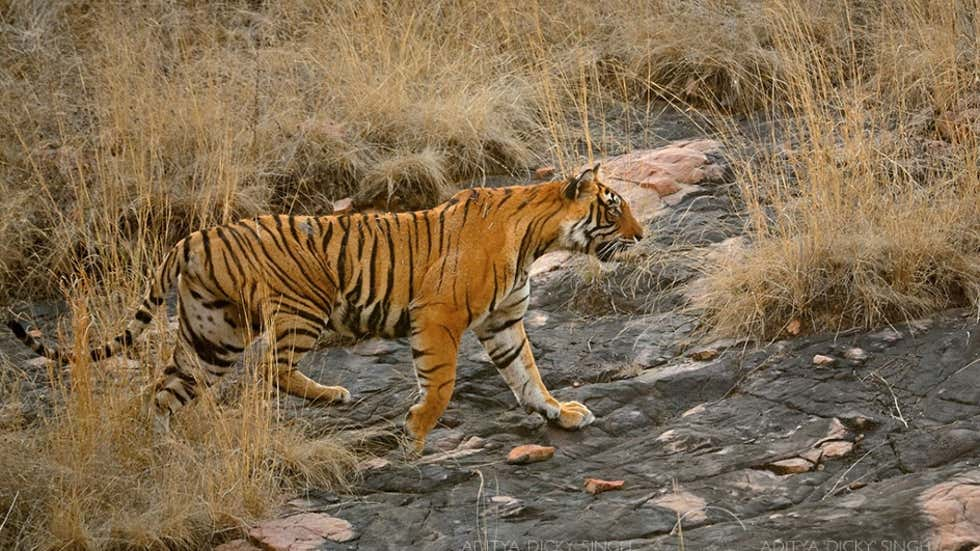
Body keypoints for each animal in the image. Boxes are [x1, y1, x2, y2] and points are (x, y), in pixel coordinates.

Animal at [7, 164, 644, 452]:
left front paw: (560, 412)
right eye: (614, 207)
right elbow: (440, 383)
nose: (642, 235)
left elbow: (528, 375)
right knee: (271, 369)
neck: (536, 238)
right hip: (298, 308)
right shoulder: (438, 317)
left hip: (212, 336)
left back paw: (162, 445)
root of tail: (191, 238)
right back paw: (334, 394)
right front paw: (415, 432)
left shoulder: (504, 322)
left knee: (166, 391)